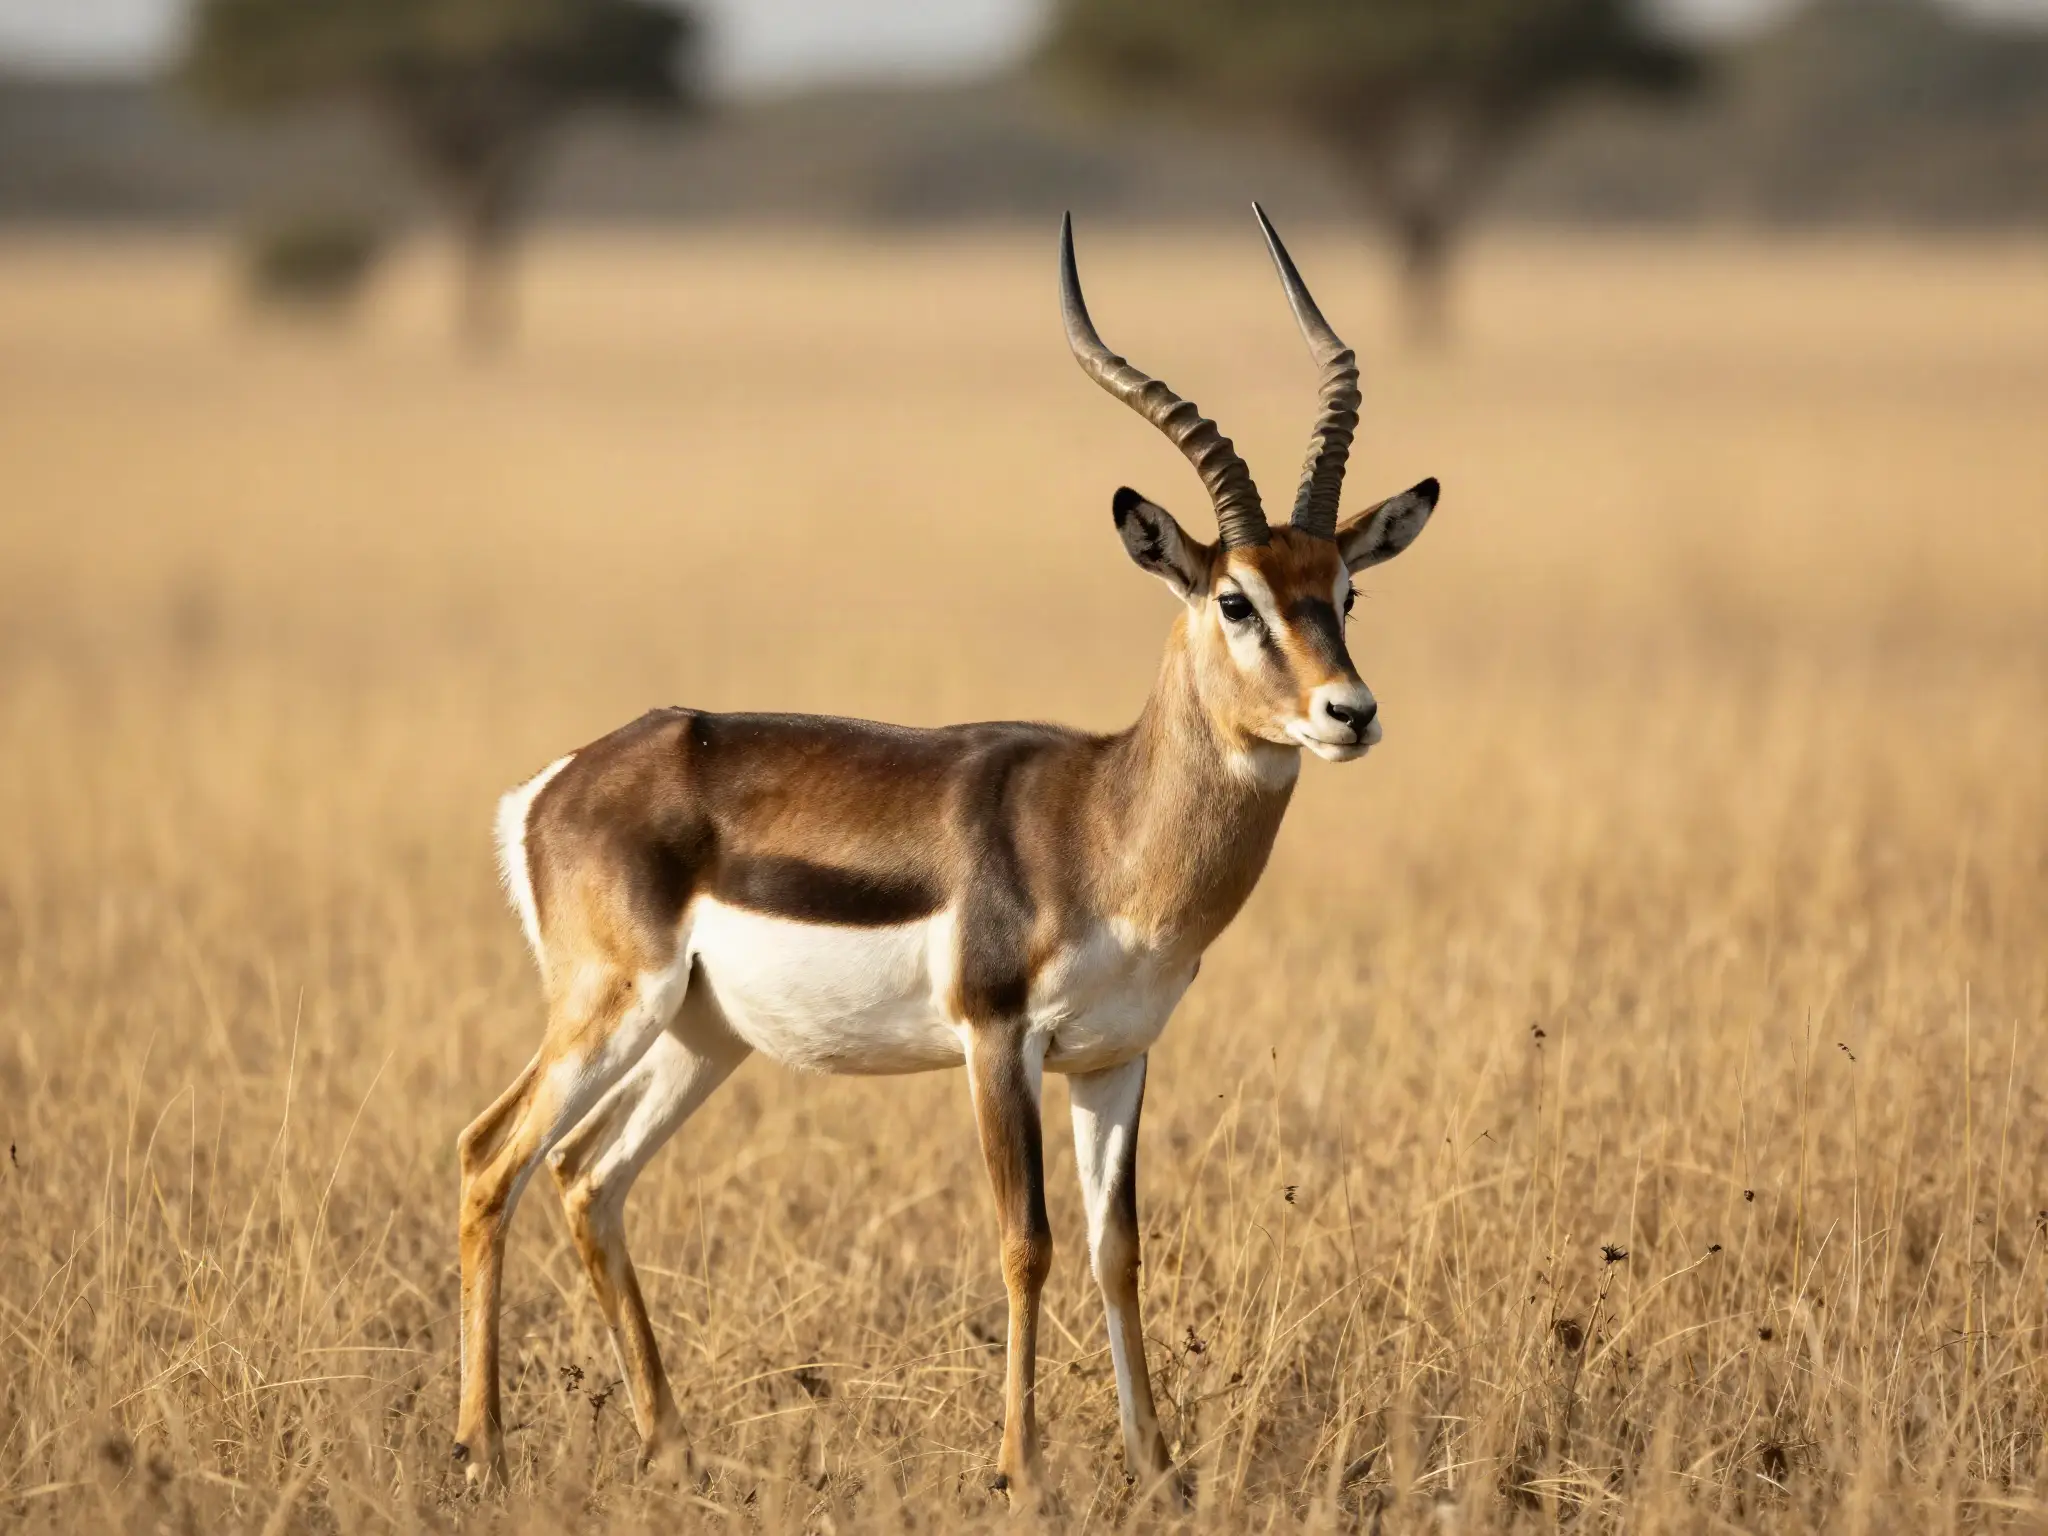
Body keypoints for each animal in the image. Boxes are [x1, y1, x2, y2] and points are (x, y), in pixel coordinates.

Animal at [453, 206, 1440, 1500]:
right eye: (1235, 599)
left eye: (1343, 592)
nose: (1348, 714)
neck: (1102, 820)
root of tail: (555, 783)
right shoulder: (994, 1040)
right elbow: (1024, 1241)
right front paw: (1021, 1471)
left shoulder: (1113, 1059)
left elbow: (1116, 1248)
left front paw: (1157, 1467)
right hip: (608, 1008)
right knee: (490, 1158)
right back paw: (481, 1451)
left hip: (700, 1036)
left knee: (585, 1177)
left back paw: (671, 1446)